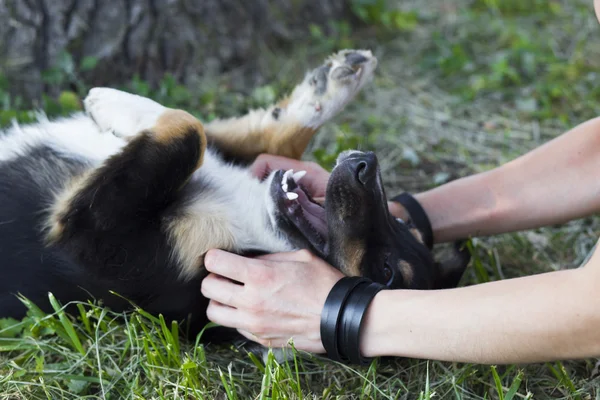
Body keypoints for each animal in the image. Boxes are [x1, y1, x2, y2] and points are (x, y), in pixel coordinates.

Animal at [0, 49, 468, 344]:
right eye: (403, 221)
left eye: (386, 272)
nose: (366, 164)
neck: (254, 226)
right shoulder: (242, 154)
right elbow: (260, 135)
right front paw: (332, 84)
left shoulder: (93, 237)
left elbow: (189, 132)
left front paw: (109, 103)